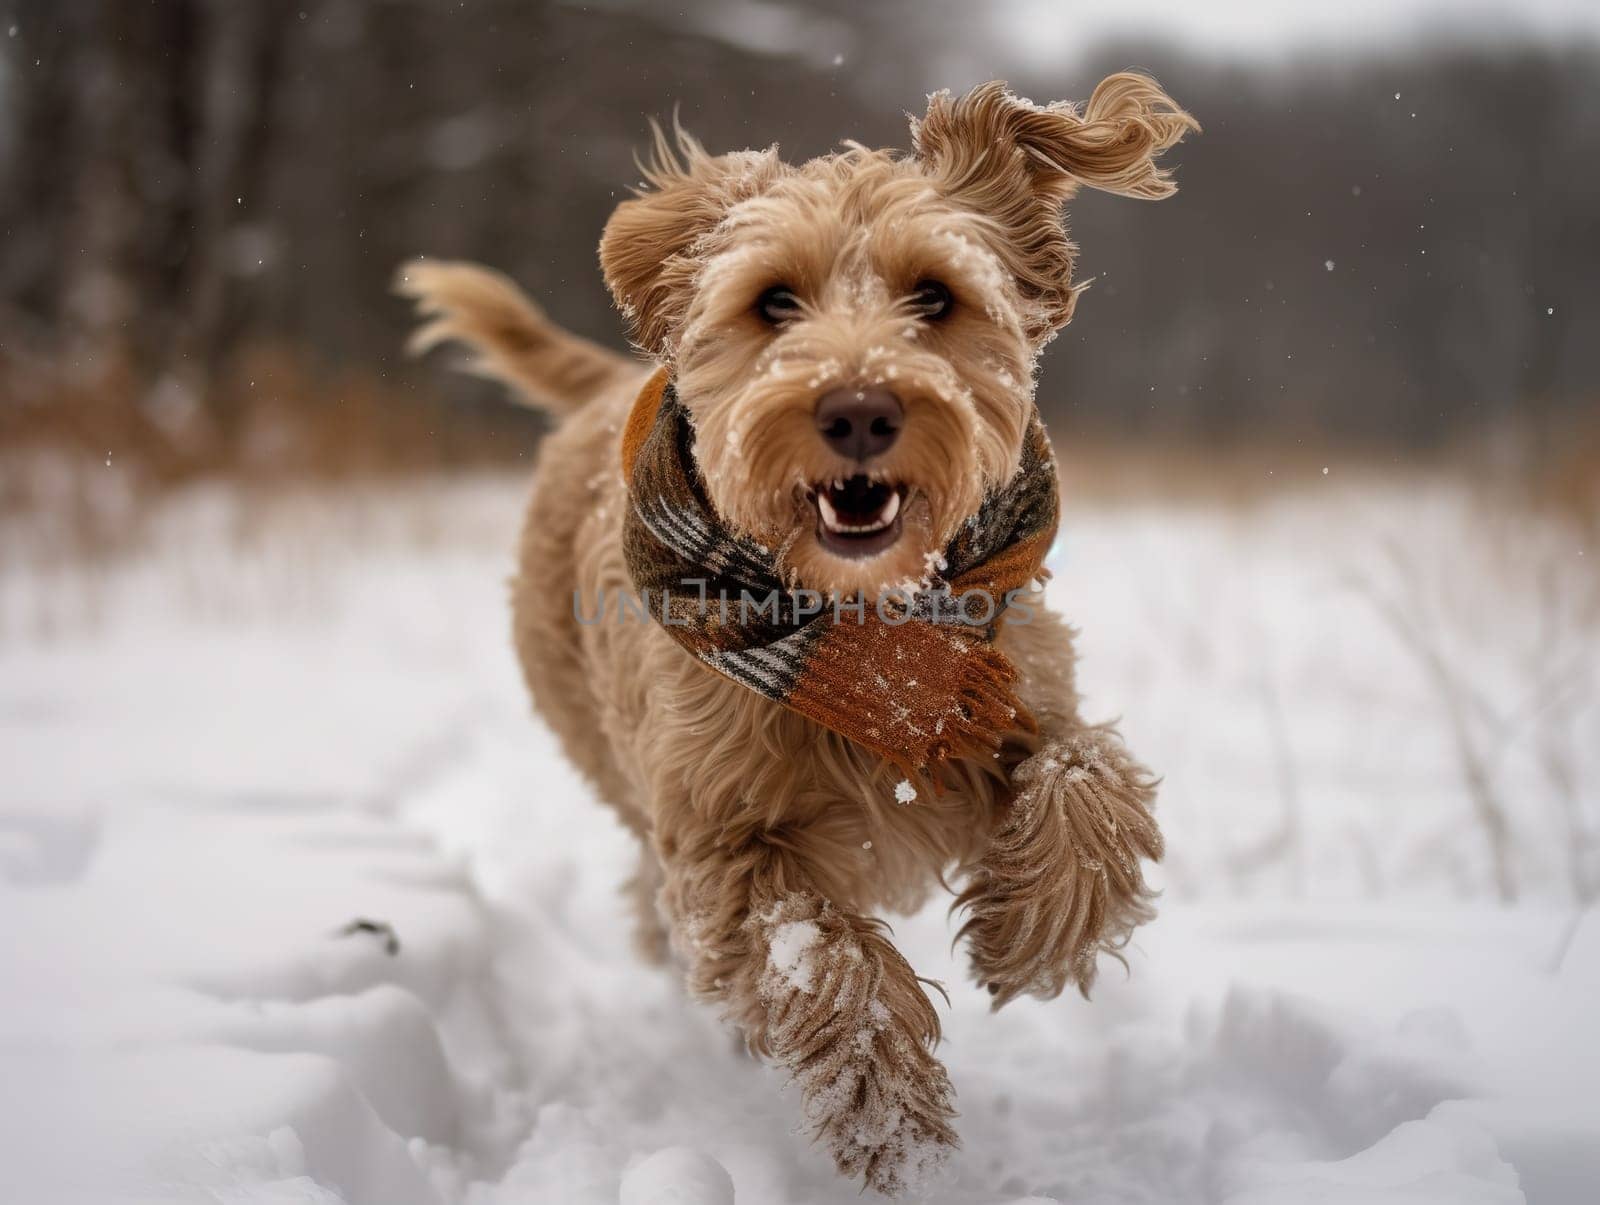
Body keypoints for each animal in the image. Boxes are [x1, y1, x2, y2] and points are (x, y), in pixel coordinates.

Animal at [400, 75, 1203, 1196]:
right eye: (774, 300)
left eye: (934, 297)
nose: (859, 408)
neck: (871, 639)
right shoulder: (718, 831)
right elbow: (818, 956)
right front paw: (892, 1124)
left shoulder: (1016, 685)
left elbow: (1087, 774)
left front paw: (1030, 933)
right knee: (657, 903)